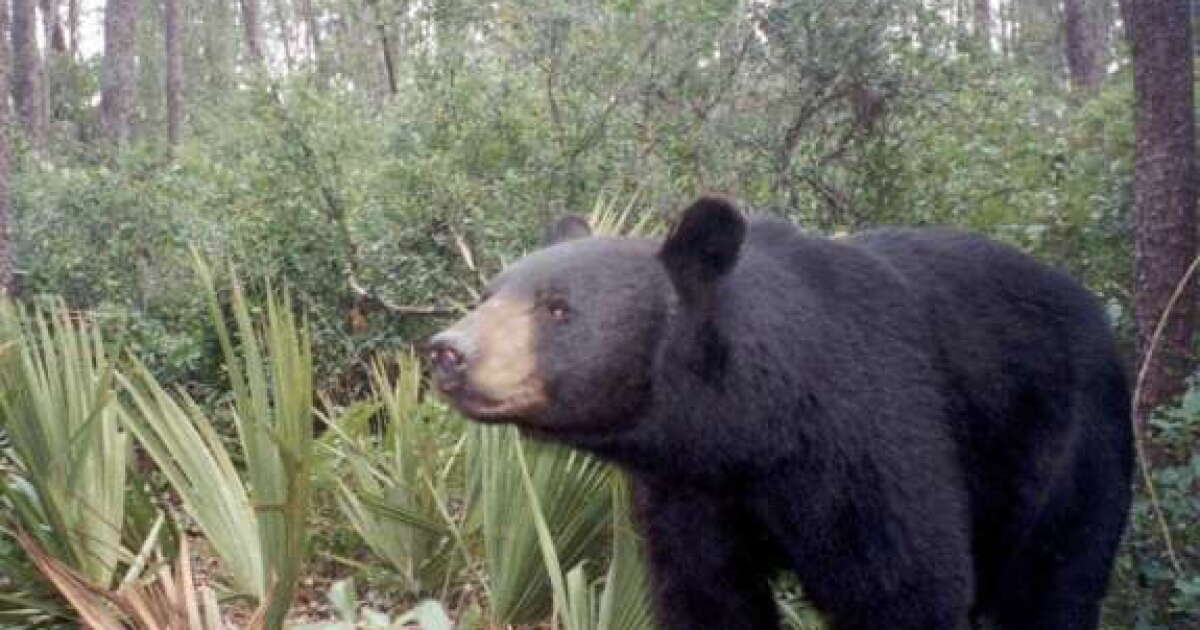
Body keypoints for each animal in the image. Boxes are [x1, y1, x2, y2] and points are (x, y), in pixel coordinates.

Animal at [426, 196, 1133, 630]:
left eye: (558, 308)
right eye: (489, 293)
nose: (447, 351)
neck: (750, 430)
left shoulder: (874, 438)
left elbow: (908, 585)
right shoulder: (688, 492)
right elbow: (707, 595)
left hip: (1069, 448)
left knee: (1054, 581)